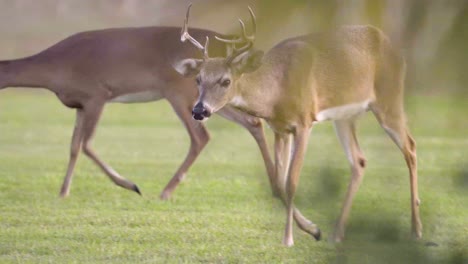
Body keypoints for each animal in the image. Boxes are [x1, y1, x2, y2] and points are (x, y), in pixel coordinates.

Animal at [0, 6, 278, 200]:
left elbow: (87, 144)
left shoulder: (97, 94)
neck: (56, 67)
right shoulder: (80, 104)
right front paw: (63, 192)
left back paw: (165, 191)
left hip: (180, 93)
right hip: (214, 99)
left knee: (201, 137)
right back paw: (275, 187)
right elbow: (73, 147)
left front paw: (130, 185)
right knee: (253, 122)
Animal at [174, 5, 422, 246]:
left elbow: (292, 182)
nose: (199, 110)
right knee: (359, 161)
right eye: (198, 79)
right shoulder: (280, 129)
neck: (277, 89)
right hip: (345, 117)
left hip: (389, 99)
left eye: (225, 81)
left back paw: (416, 230)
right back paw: (337, 234)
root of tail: (397, 51)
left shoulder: (304, 122)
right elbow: (278, 184)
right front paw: (314, 229)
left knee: (410, 147)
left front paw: (289, 238)